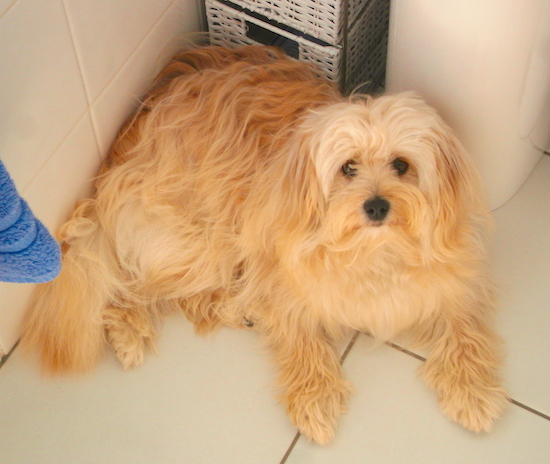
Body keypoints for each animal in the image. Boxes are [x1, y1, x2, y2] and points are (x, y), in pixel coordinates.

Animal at [23, 45, 512, 444]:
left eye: (402, 165)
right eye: (348, 168)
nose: (376, 206)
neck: (374, 253)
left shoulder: (457, 285)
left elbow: (467, 333)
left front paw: (472, 391)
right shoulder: (283, 279)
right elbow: (302, 339)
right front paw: (315, 398)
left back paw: (234, 309)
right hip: (208, 235)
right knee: (133, 282)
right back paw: (131, 331)